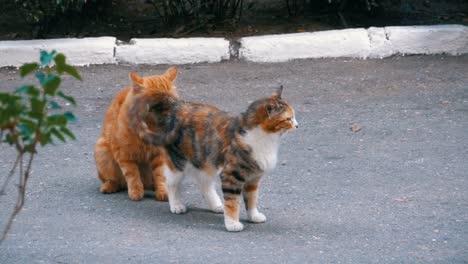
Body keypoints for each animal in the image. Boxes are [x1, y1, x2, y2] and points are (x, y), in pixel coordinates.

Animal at [94, 67, 178, 201]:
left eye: (170, 102)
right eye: (158, 105)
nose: (168, 115)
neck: (151, 127)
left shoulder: (159, 156)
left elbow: (160, 176)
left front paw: (162, 192)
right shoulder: (124, 155)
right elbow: (132, 175)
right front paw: (136, 192)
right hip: (102, 150)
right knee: (116, 181)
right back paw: (108, 187)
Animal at [133, 86, 298, 231]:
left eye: (293, 117)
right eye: (288, 119)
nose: (297, 125)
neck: (265, 139)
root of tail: (178, 105)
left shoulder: (253, 178)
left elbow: (252, 198)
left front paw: (253, 216)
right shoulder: (232, 176)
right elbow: (232, 202)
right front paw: (232, 223)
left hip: (206, 160)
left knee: (204, 183)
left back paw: (217, 205)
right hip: (178, 163)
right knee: (172, 182)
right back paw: (176, 205)